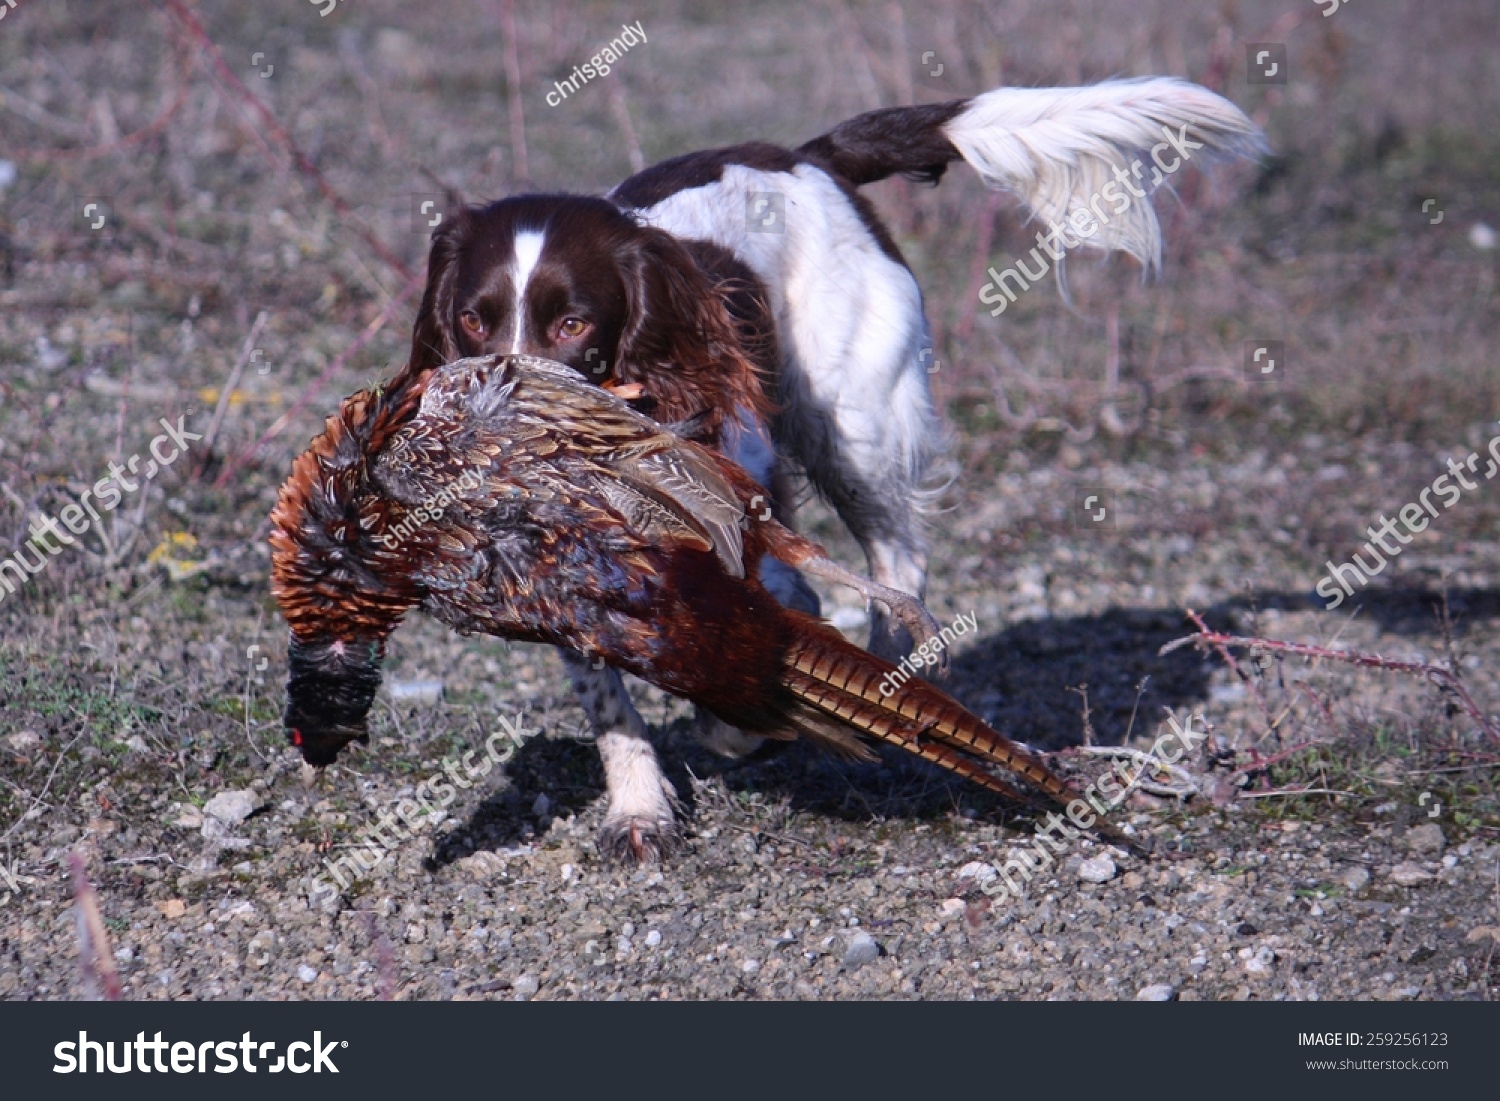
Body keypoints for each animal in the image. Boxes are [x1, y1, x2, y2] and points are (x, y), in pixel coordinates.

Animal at [405, 75, 1260, 864]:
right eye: (473, 318)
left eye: (574, 323)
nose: (495, 418)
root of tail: (809, 158)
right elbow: (608, 694)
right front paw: (640, 806)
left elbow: (775, 626)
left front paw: (754, 719)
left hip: (854, 429)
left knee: (897, 561)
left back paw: (888, 686)